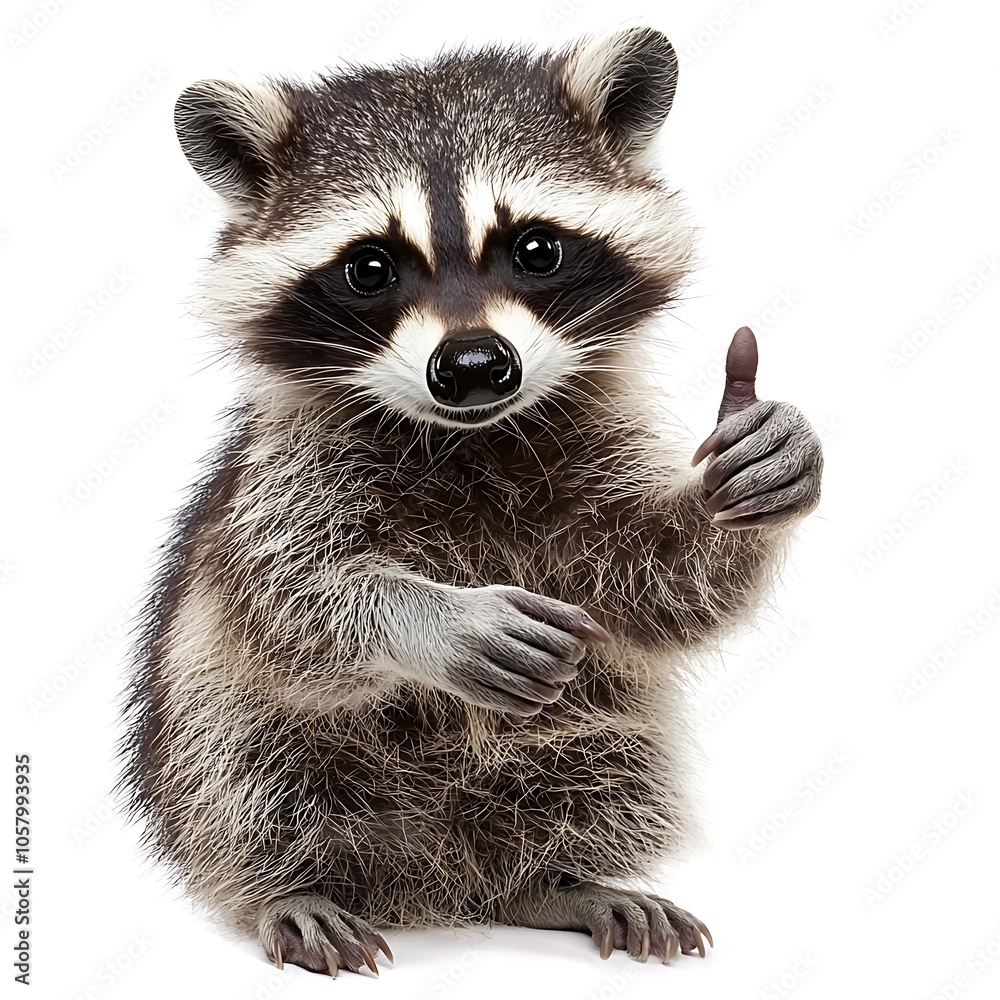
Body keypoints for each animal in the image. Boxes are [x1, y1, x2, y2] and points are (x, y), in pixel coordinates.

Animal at [119, 27, 822, 977]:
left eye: (536, 249)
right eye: (369, 268)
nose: (476, 366)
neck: (474, 437)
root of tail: (435, 885)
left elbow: (664, 588)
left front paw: (740, 479)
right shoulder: (281, 478)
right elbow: (288, 600)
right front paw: (430, 618)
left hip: (574, 755)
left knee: (606, 757)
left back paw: (557, 881)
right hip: (208, 736)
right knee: (244, 765)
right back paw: (287, 887)